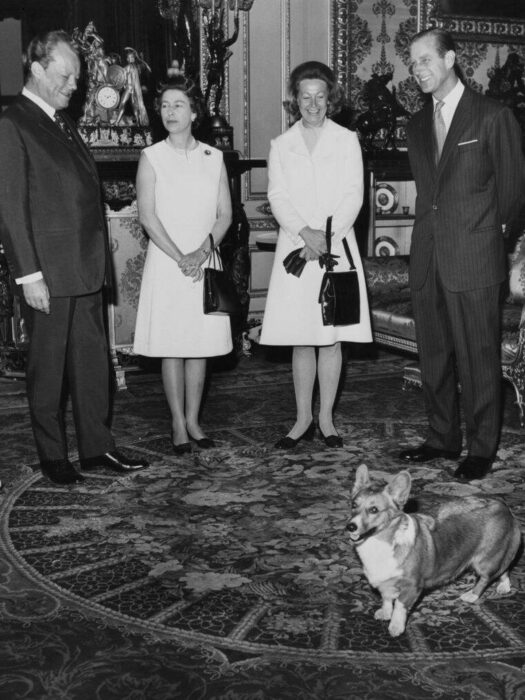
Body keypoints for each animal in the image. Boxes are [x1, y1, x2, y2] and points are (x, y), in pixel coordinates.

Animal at [344, 464, 520, 640]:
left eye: (374, 510)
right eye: (353, 505)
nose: (350, 526)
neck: (380, 542)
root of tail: (503, 506)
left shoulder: (411, 587)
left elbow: (399, 607)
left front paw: (395, 627)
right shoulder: (384, 582)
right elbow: (386, 599)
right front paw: (385, 613)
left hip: (485, 559)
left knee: (487, 577)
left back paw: (472, 595)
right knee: (503, 569)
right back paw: (504, 586)